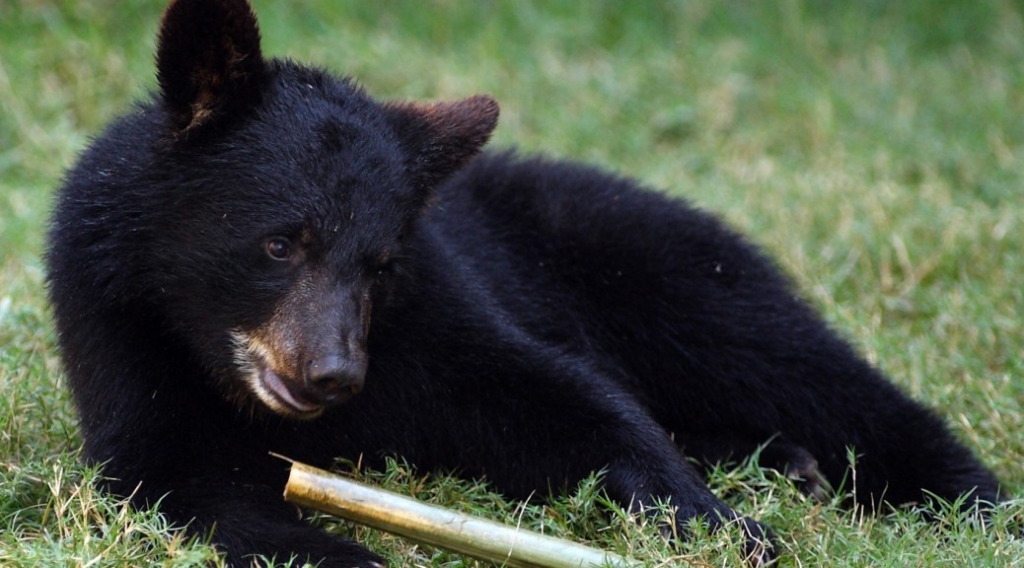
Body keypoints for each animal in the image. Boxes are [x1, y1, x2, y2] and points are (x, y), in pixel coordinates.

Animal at [46, 1, 999, 568]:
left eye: (380, 264)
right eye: (281, 243)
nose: (332, 375)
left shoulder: (432, 308)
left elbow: (549, 397)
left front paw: (720, 524)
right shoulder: (120, 333)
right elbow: (182, 477)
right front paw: (346, 549)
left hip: (671, 271)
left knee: (797, 366)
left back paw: (965, 499)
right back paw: (779, 461)